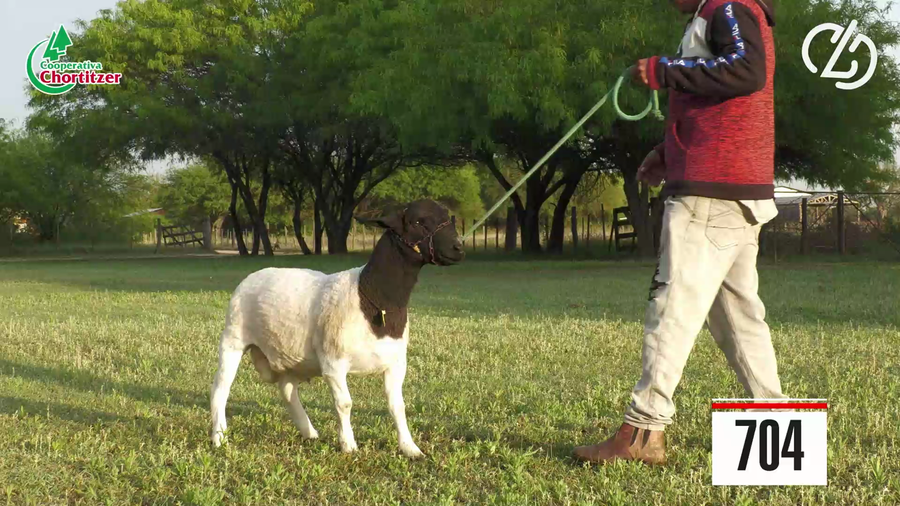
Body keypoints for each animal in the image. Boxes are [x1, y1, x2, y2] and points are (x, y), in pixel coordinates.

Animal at [209, 199, 465, 458]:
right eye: (418, 221)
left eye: (448, 217)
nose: (459, 247)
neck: (371, 297)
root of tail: (253, 276)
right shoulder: (333, 363)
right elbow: (345, 403)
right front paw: (348, 445)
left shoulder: (396, 363)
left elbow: (397, 406)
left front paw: (410, 448)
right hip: (233, 340)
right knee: (220, 389)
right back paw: (219, 437)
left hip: (289, 354)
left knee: (287, 390)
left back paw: (309, 432)